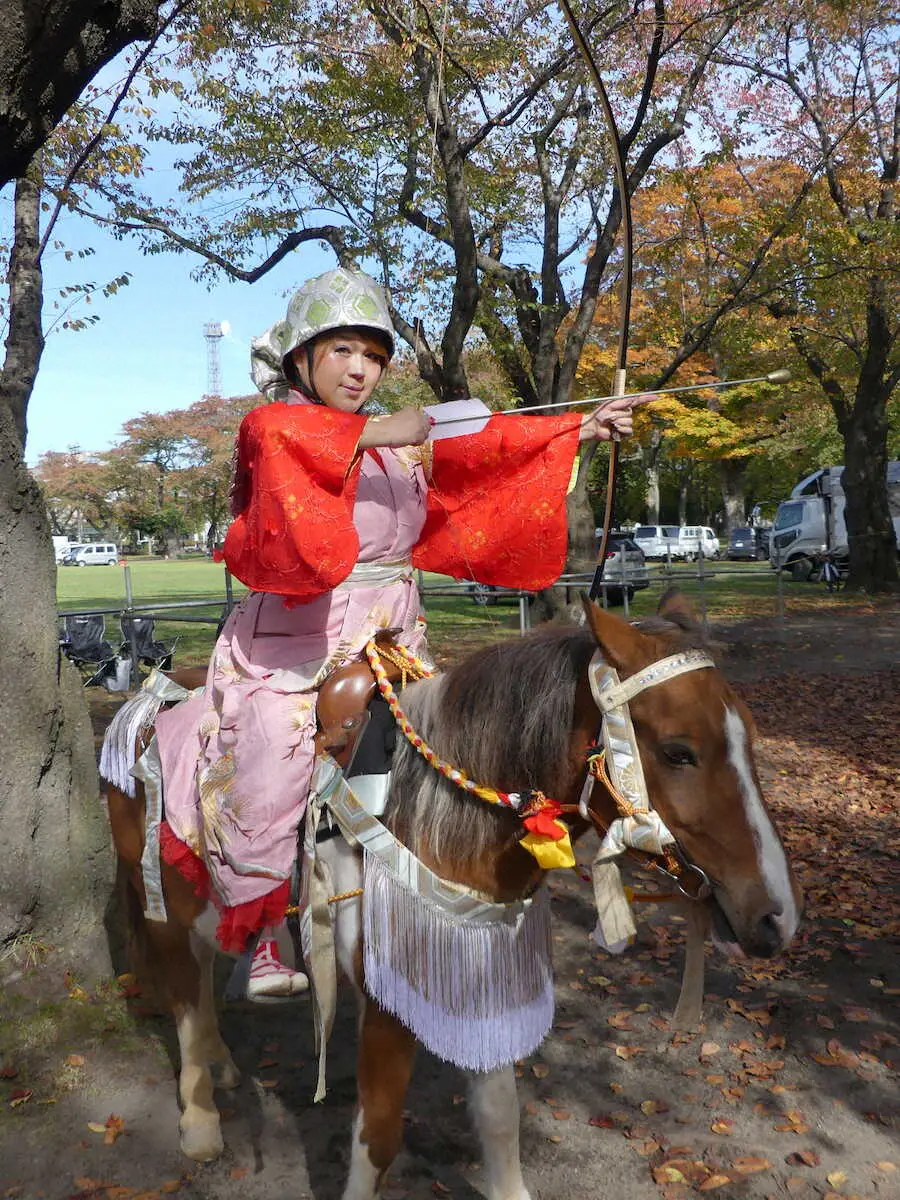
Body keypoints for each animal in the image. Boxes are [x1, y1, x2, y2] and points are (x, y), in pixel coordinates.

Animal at [103, 595, 801, 1200]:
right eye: (679, 751)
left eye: (750, 736)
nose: (776, 917)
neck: (430, 815)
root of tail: (142, 702)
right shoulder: (389, 1003)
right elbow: (378, 1136)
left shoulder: (478, 970)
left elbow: (498, 1115)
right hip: (159, 902)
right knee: (185, 995)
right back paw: (200, 1121)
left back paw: (225, 1060)